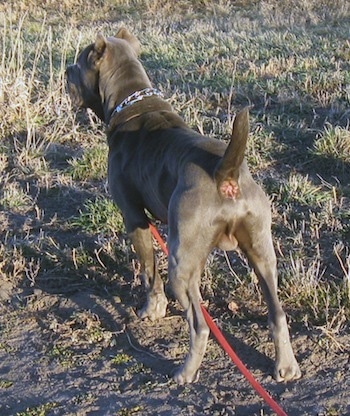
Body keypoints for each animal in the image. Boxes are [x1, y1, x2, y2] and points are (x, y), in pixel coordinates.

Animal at [66, 27, 300, 386]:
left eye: (78, 64)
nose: (65, 71)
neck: (132, 100)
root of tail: (224, 173)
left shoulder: (134, 217)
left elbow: (149, 271)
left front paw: (152, 310)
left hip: (180, 261)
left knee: (200, 326)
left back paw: (185, 372)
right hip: (261, 253)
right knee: (277, 313)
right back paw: (286, 367)